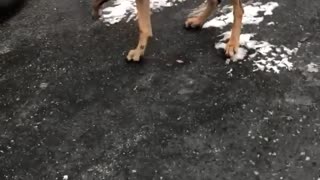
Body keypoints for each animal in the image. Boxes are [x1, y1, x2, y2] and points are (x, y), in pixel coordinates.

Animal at [92, 0, 242, 61]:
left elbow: (143, 28)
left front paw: (138, 51)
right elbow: (144, 27)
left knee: (239, 10)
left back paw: (232, 43)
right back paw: (198, 21)